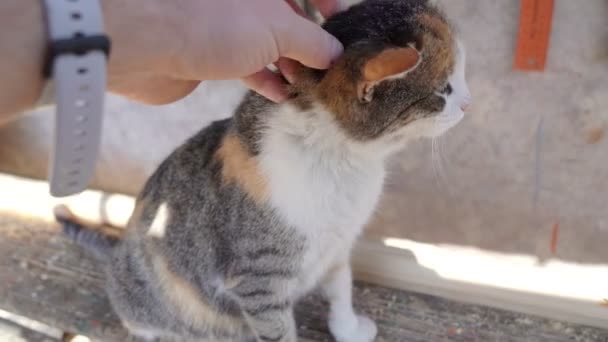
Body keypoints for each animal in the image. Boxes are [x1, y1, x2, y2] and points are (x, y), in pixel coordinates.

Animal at [55, 1, 470, 340]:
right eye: (444, 89)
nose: (468, 103)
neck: (341, 160)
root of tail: (117, 251)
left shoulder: (338, 244)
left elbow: (341, 289)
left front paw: (349, 330)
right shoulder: (258, 281)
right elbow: (278, 329)